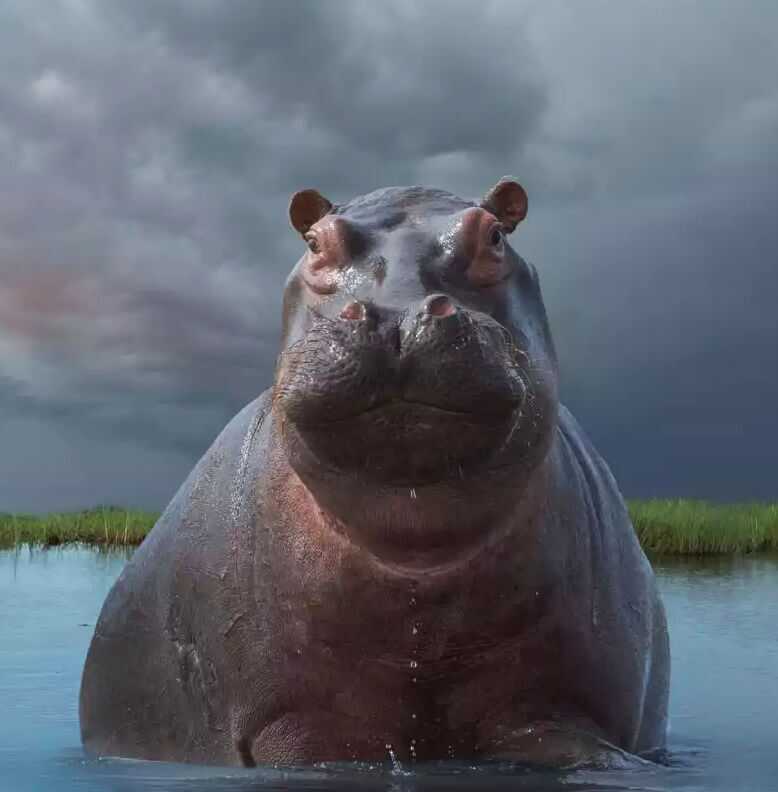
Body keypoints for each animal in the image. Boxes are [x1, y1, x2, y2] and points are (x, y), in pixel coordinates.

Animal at [79, 178, 670, 768]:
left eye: (496, 236)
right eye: (315, 242)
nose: (397, 315)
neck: (414, 549)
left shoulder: (557, 709)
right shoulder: (291, 722)